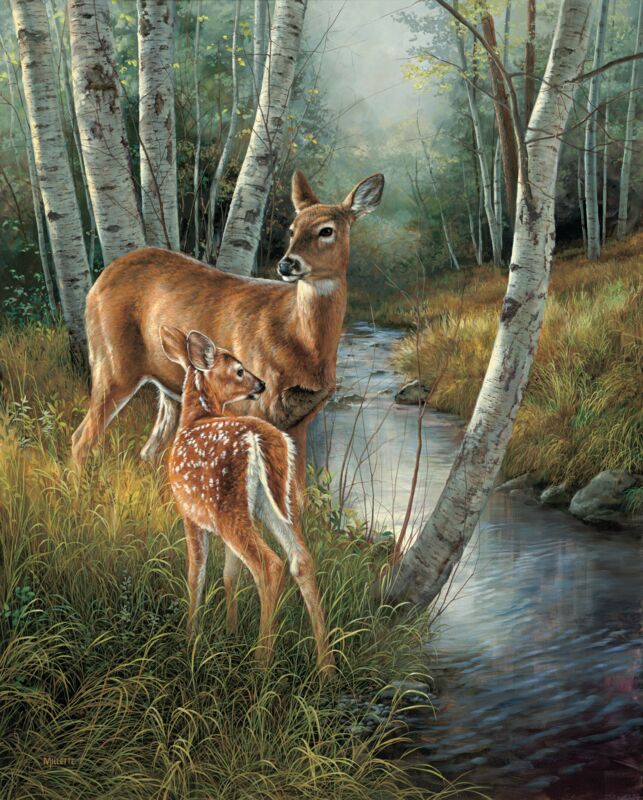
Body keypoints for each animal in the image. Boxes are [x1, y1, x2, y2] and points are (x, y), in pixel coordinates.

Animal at [71, 170, 385, 494]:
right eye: (292, 229)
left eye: (327, 230)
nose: (287, 263)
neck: (302, 342)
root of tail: (99, 281)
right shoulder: (253, 408)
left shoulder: (301, 419)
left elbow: (297, 491)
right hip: (112, 364)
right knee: (81, 437)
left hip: (169, 390)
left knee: (149, 451)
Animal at [159, 324, 335, 674]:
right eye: (239, 370)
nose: (261, 384)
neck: (195, 417)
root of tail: (263, 438)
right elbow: (230, 575)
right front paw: (230, 630)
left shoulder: (189, 513)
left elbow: (196, 573)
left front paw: (191, 637)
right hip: (277, 503)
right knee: (301, 559)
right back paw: (327, 666)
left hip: (228, 506)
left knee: (270, 565)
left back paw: (261, 663)